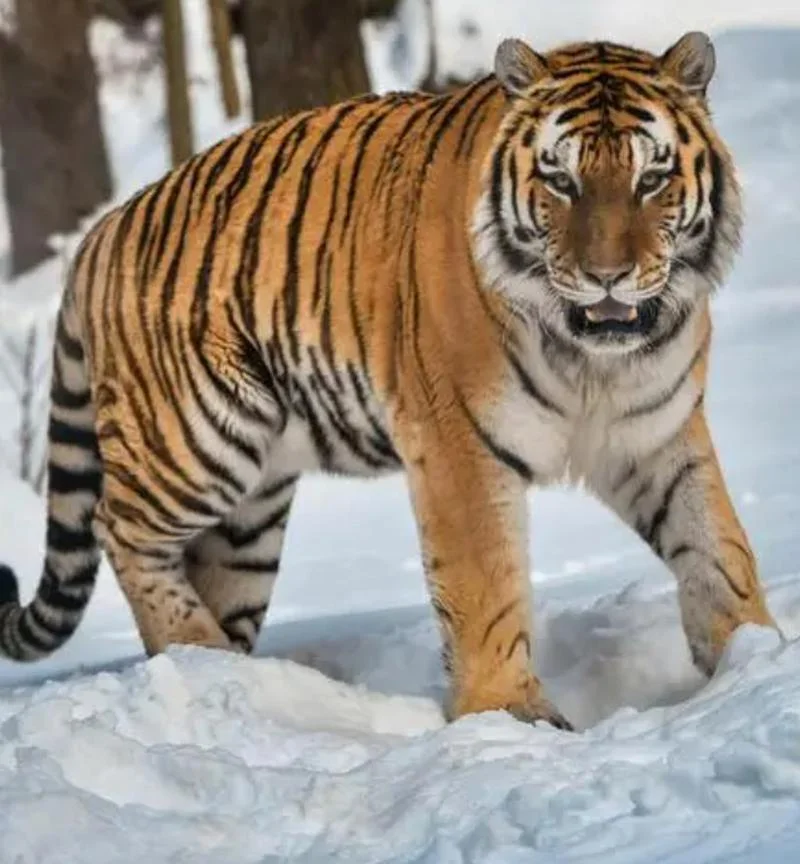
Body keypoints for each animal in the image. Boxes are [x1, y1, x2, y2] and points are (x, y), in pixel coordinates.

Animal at [0, 30, 776, 730]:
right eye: (561, 181)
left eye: (652, 179)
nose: (607, 276)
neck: (596, 360)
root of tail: (105, 227)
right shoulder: (461, 444)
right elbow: (485, 582)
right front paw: (508, 714)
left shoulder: (658, 433)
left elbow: (717, 545)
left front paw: (755, 654)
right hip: (199, 437)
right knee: (117, 524)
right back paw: (193, 647)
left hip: (251, 511)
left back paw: (220, 673)